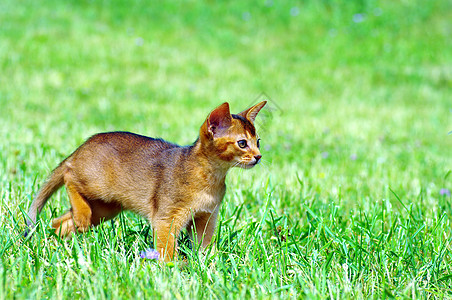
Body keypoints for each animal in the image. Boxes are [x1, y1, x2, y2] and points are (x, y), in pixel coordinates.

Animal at [27, 101, 264, 260]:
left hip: (105, 209)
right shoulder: (167, 218)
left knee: (59, 222)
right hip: (94, 185)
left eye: (258, 141)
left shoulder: (206, 218)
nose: (258, 156)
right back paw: (78, 218)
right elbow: (166, 250)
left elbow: (205, 248)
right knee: (69, 176)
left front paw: (208, 266)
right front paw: (171, 270)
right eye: (242, 143)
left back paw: (57, 241)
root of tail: (81, 148)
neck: (210, 178)